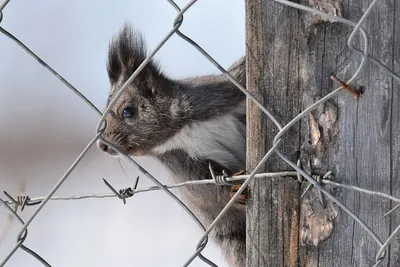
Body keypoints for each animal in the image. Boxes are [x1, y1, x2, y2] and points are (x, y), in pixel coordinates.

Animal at [96, 23, 247, 267]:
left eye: (127, 111)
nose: (101, 145)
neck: (181, 129)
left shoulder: (222, 96)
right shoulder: (181, 161)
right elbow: (203, 186)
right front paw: (233, 188)